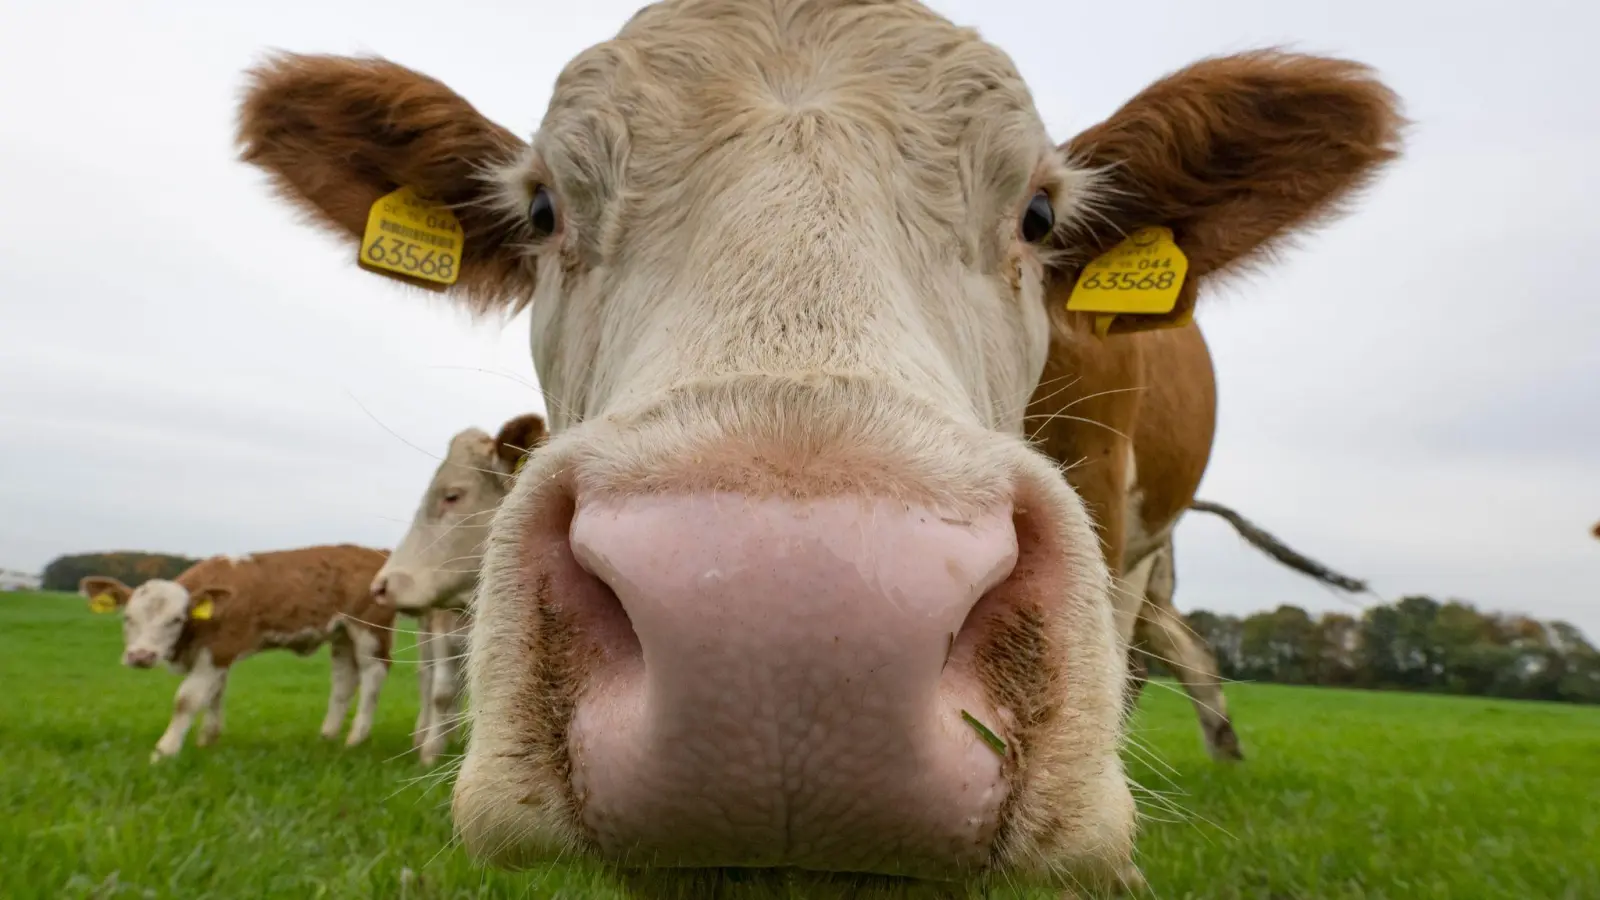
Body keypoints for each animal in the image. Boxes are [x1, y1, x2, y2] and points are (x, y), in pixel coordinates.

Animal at [82, 544, 395, 759]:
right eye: (127, 617)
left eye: (176, 619)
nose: (141, 656)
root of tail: (375, 552)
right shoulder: (217, 656)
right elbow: (214, 695)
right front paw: (207, 741)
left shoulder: (219, 649)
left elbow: (187, 698)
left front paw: (165, 751)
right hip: (342, 634)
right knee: (345, 680)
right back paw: (328, 736)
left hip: (370, 630)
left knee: (373, 674)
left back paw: (355, 738)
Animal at [369, 409, 550, 759]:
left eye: (452, 496)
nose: (380, 586)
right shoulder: (442, 633)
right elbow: (441, 692)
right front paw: (431, 751)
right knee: (427, 680)